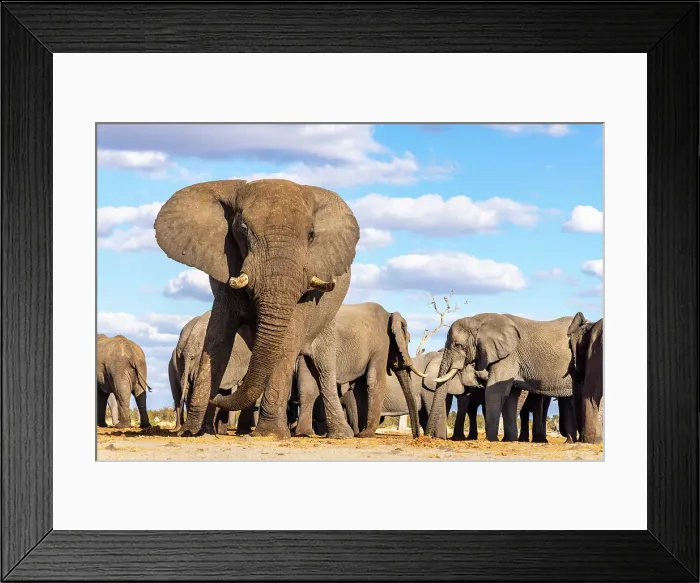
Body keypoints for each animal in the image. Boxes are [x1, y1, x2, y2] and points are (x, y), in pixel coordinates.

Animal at [154, 179, 360, 439]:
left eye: (311, 235)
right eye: (243, 230)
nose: (216, 397)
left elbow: (286, 344)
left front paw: (269, 434)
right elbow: (217, 341)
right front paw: (192, 432)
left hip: (328, 317)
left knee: (323, 369)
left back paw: (340, 435)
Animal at [294, 303, 424, 438]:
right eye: (408, 341)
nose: (416, 436)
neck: (390, 314)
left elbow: (360, 388)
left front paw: (361, 433)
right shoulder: (381, 343)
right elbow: (376, 381)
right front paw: (366, 434)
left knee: (307, 385)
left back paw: (305, 433)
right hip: (326, 340)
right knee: (326, 375)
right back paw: (343, 434)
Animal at [427, 314, 575, 442]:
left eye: (458, 345)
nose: (427, 437)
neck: (479, 320)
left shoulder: (508, 356)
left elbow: (495, 390)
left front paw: (491, 440)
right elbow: (511, 396)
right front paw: (509, 440)